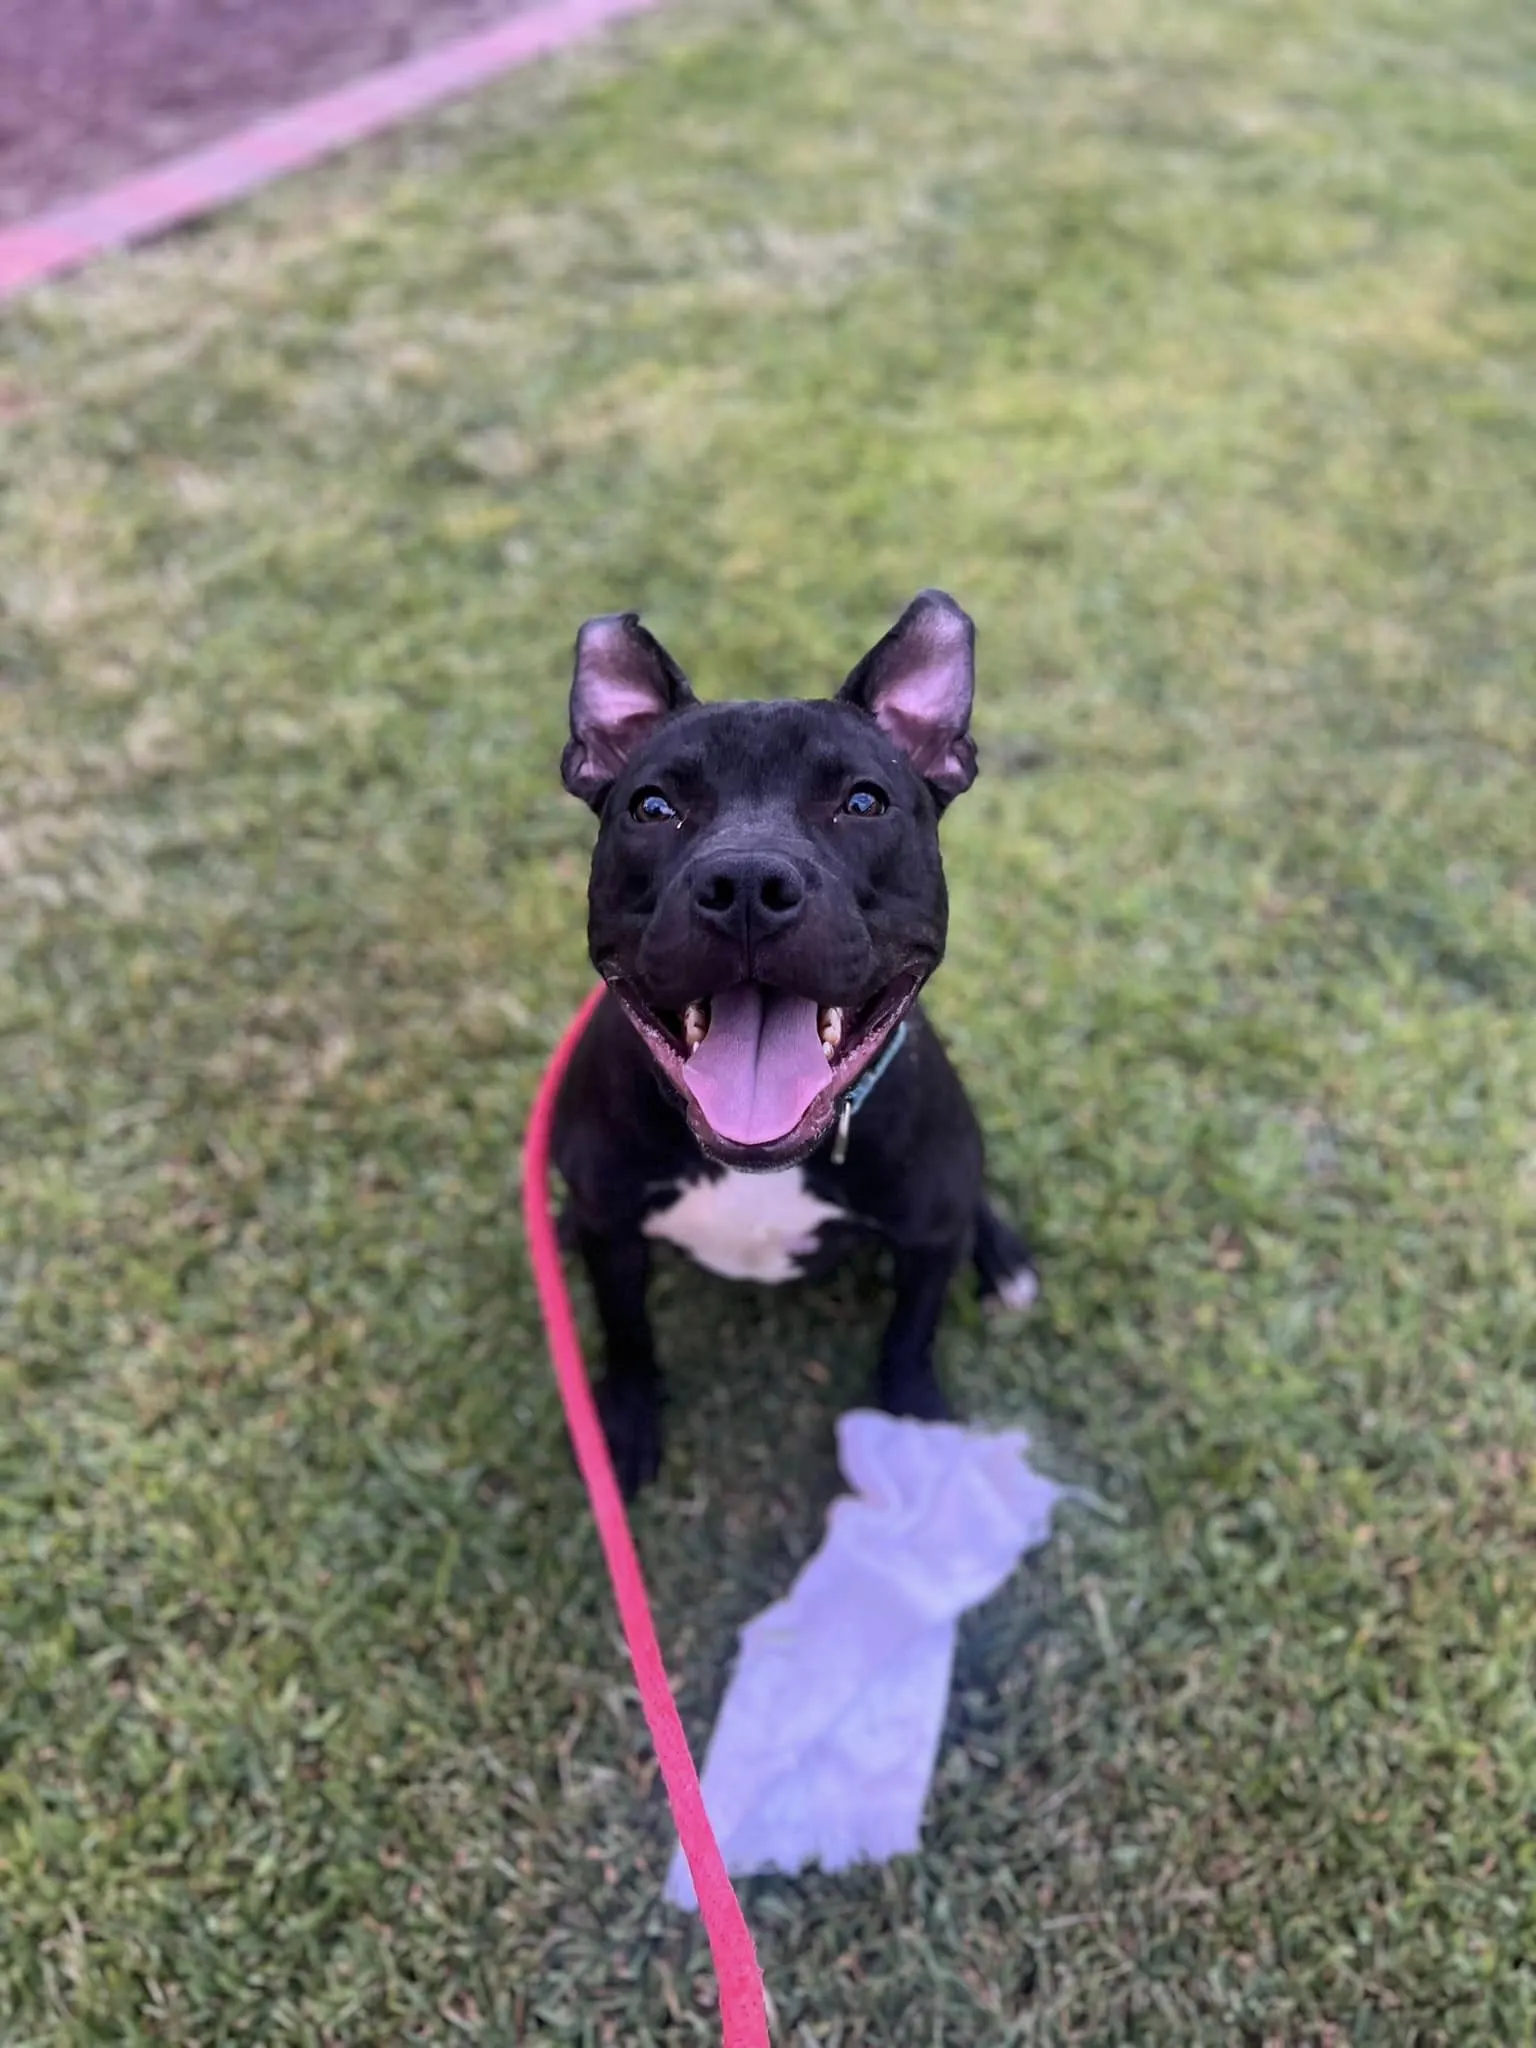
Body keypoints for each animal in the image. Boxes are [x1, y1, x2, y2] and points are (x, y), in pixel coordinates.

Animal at [548, 585, 1040, 1499]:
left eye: (863, 802)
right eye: (652, 807)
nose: (746, 882)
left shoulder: (926, 1242)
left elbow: (909, 1337)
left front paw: (915, 1429)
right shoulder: (614, 1237)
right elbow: (628, 1336)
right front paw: (622, 1428)